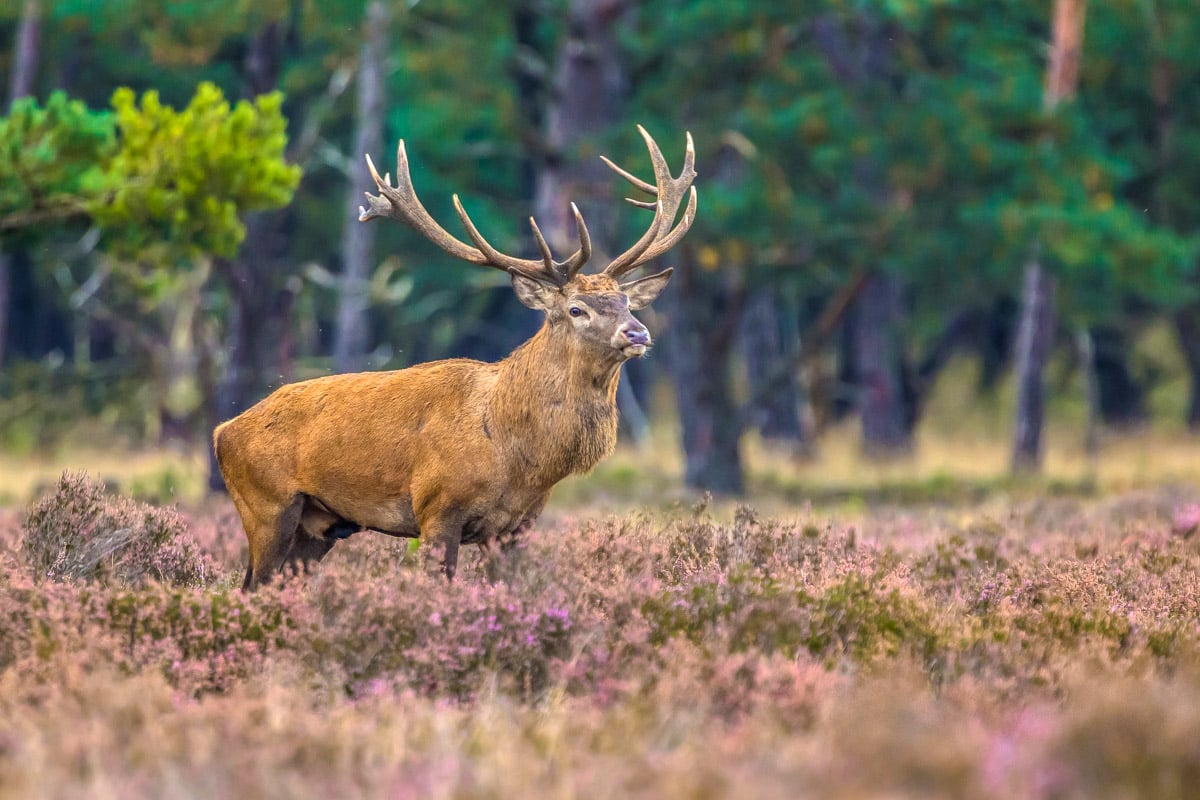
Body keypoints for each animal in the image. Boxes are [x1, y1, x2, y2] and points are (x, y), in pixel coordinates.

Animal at [213, 125, 697, 589]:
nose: (638, 332)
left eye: (626, 302)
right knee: (251, 585)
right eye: (577, 309)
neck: (516, 455)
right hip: (267, 507)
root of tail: (222, 431)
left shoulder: (517, 527)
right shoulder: (437, 508)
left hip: (320, 525)